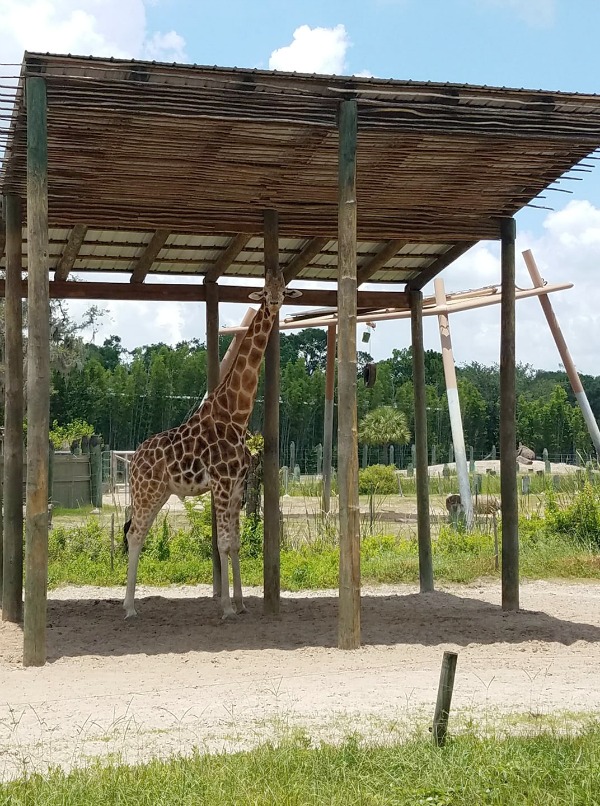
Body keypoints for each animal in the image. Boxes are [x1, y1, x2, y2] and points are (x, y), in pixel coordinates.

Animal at [123, 268, 292, 620]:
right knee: (134, 534)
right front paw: (226, 607)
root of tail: (134, 460)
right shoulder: (223, 484)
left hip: (160, 493)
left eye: (284, 289)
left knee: (138, 534)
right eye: (263, 290)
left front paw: (241, 603)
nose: (274, 302)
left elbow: (236, 542)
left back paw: (129, 604)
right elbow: (223, 543)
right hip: (146, 492)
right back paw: (129, 608)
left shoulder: (239, 485)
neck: (236, 414)